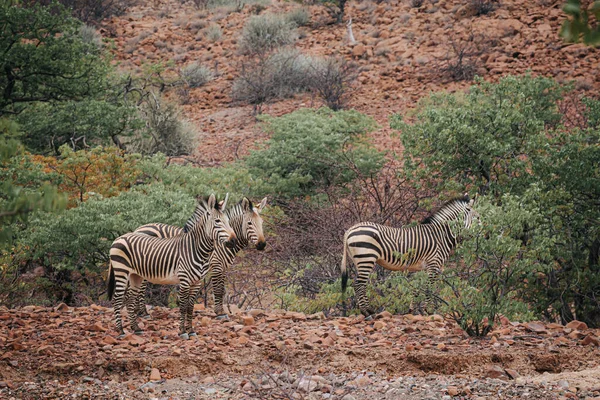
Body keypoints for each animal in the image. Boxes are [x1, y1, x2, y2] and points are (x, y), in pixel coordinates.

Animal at [108, 194, 237, 338]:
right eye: (217, 221)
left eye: (228, 220)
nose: (233, 240)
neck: (196, 248)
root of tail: (119, 237)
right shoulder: (185, 280)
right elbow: (183, 306)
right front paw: (182, 332)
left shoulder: (196, 282)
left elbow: (190, 307)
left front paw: (191, 331)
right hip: (121, 271)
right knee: (117, 300)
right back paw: (120, 331)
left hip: (136, 275)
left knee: (130, 299)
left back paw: (136, 328)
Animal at [135, 198, 268, 322]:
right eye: (249, 223)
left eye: (261, 222)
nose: (262, 245)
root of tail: (139, 228)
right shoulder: (216, 266)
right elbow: (218, 290)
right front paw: (220, 313)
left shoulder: (223, 268)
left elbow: (222, 289)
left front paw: (220, 311)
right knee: (141, 288)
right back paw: (143, 313)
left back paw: (140, 312)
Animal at [342, 194, 478, 318]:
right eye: (478, 217)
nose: (483, 235)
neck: (441, 236)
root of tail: (350, 230)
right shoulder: (433, 264)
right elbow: (428, 288)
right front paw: (427, 310)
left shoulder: (421, 268)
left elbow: (417, 288)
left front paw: (412, 310)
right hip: (366, 257)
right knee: (359, 284)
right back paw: (367, 311)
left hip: (358, 260)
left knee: (358, 283)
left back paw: (366, 310)